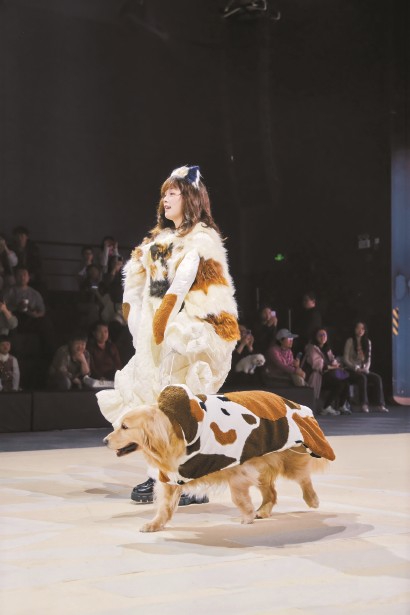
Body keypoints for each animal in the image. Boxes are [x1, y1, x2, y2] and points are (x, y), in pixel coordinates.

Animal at [104, 385, 335, 532]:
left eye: (125, 427)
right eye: (118, 425)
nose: (105, 440)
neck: (174, 434)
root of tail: (295, 404)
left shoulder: (239, 469)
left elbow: (238, 497)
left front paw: (247, 515)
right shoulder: (171, 477)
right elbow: (164, 507)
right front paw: (155, 524)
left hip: (288, 460)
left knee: (303, 478)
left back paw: (311, 500)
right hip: (262, 466)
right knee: (271, 492)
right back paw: (263, 511)